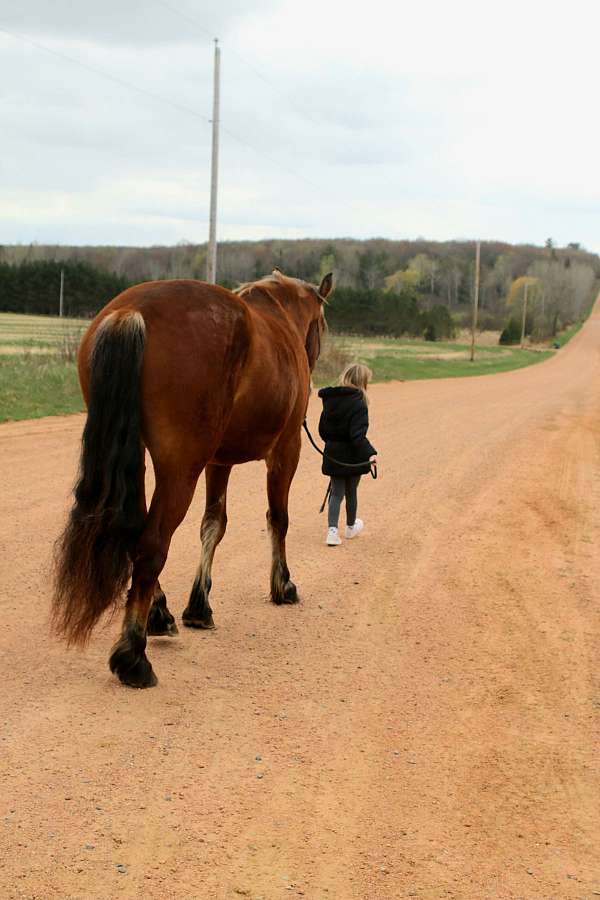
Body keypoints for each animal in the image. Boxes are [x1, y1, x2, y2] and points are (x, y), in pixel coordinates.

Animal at [52, 269, 332, 688]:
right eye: (323, 325)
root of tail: (132, 312)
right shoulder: (286, 451)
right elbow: (278, 519)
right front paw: (282, 584)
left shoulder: (219, 462)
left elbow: (213, 524)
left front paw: (199, 606)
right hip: (181, 467)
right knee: (151, 543)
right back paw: (133, 656)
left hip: (140, 456)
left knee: (134, 529)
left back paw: (158, 614)